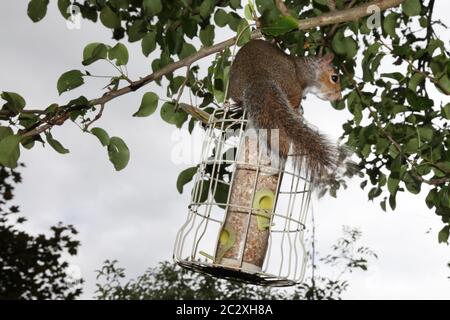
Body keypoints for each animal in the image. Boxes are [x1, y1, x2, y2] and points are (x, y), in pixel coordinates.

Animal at [229, 39, 352, 185]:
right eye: (334, 78)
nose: (339, 97)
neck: (307, 70)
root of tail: (257, 75)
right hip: (292, 88)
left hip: (236, 90)